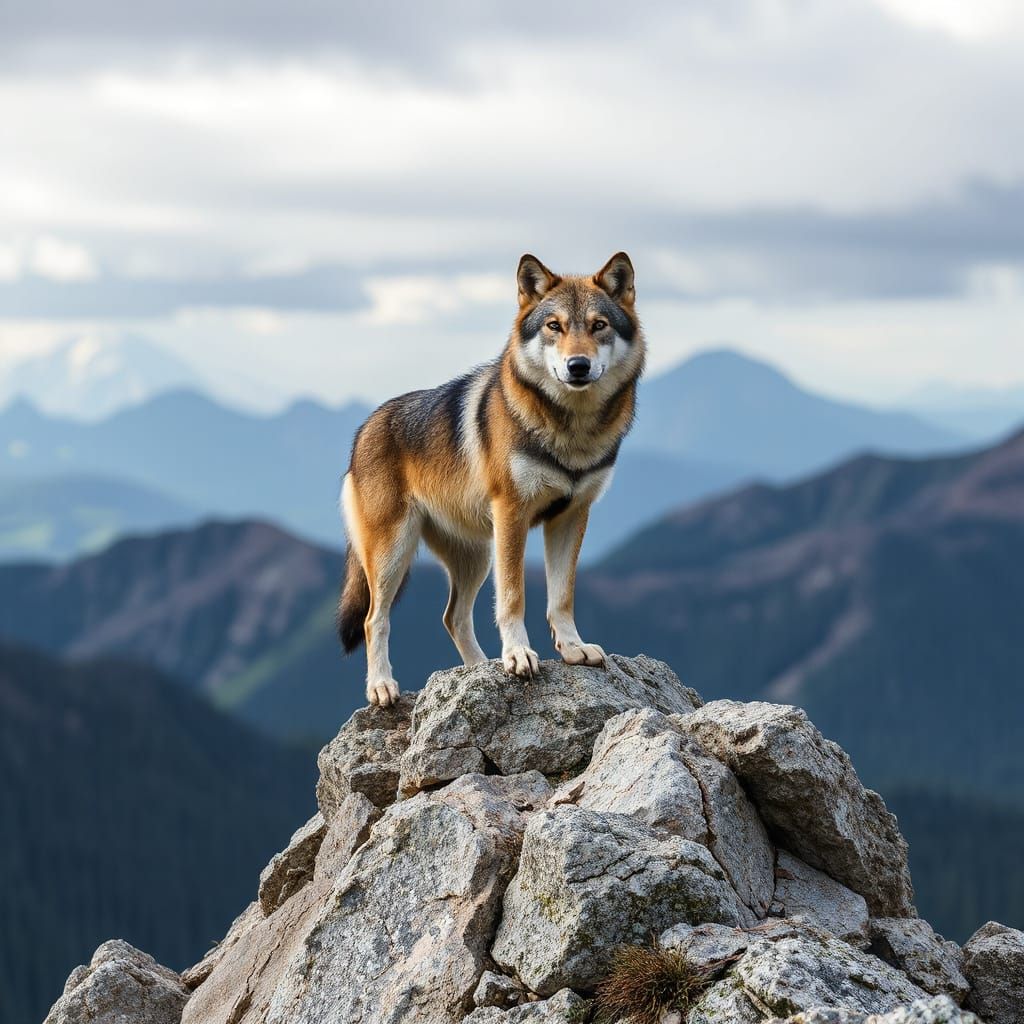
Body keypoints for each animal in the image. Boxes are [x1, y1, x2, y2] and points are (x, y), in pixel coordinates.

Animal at [338, 252, 646, 705]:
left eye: (598, 325)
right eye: (554, 326)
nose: (578, 366)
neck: (570, 431)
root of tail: (363, 430)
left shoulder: (571, 516)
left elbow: (562, 596)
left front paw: (573, 649)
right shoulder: (512, 513)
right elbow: (514, 597)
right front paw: (518, 655)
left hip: (477, 556)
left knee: (452, 617)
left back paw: (477, 671)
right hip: (394, 553)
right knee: (374, 619)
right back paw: (381, 686)